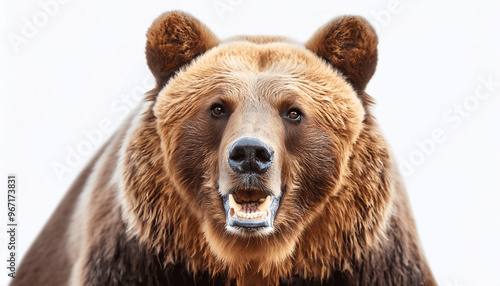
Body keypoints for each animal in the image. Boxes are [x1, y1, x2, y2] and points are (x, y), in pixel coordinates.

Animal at [13, 10, 436, 284]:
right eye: (217, 107)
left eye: (293, 112)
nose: (250, 154)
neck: (249, 258)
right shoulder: (137, 259)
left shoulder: (368, 262)